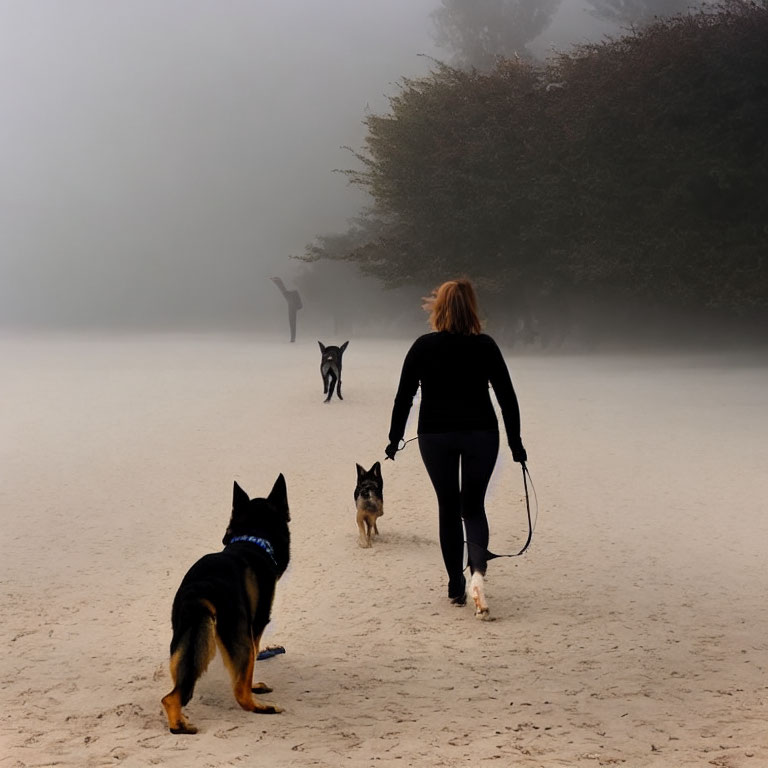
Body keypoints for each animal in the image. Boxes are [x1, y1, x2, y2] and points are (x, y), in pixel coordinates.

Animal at [160, 474, 290, 732]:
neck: (253, 539)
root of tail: (202, 589)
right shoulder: (255, 627)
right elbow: (250, 666)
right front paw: (254, 686)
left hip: (185, 638)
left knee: (172, 695)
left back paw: (178, 723)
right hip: (239, 637)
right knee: (240, 693)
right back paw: (263, 707)